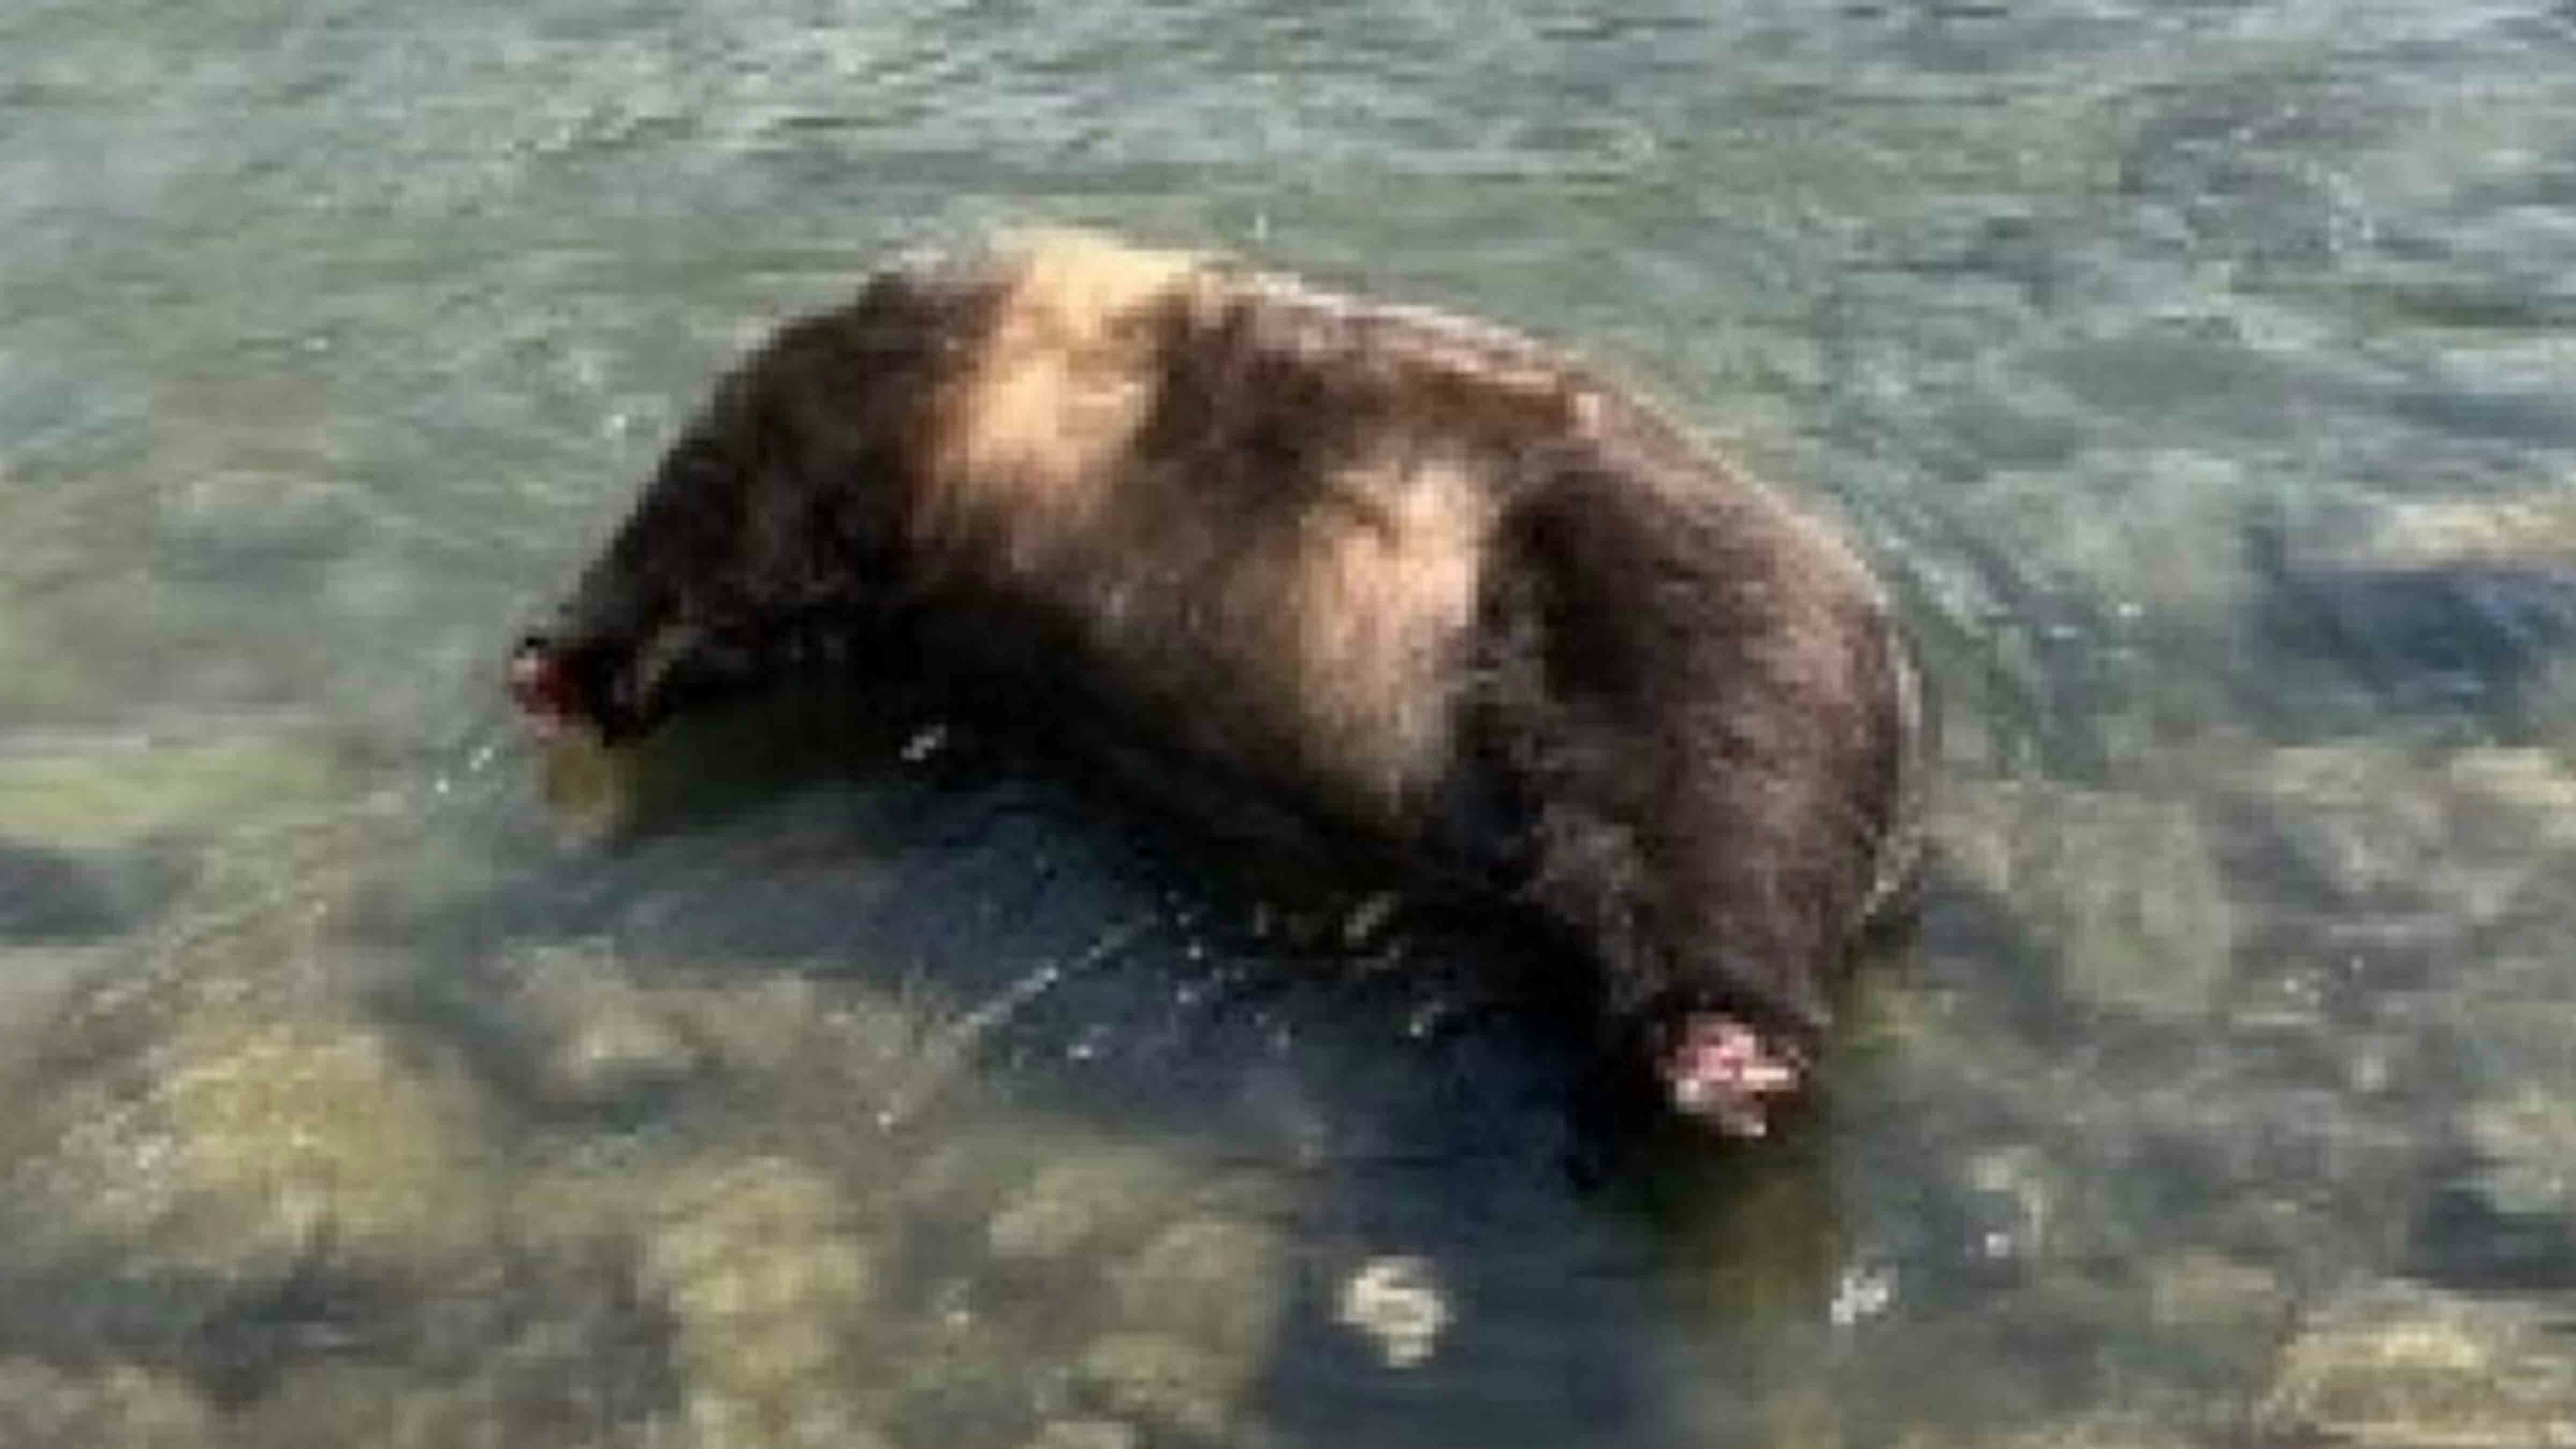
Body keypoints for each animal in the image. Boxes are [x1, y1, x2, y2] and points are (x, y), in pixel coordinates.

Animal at [508, 231, 1924, 1139]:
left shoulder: (859, 445)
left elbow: (733, 545)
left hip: (1654, 608)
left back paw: (1721, 1043)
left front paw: (579, 662)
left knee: (1712, 803)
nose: (552, 667)